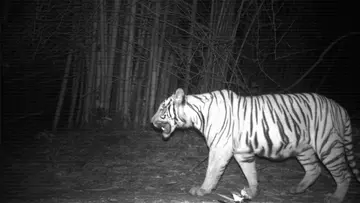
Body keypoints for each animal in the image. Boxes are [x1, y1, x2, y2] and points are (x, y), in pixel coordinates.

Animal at [151, 88, 360, 203]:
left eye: (162, 108)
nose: (151, 122)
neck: (197, 115)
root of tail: (340, 108)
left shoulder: (220, 148)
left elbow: (212, 170)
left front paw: (202, 190)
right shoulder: (242, 152)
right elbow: (250, 172)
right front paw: (252, 191)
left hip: (326, 145)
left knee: (344, 174)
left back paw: (335, 197)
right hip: (304, 148)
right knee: (314, 169)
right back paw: (297, 189)